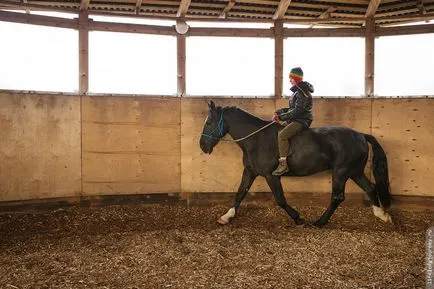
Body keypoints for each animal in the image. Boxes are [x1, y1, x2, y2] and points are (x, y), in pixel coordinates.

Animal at [200, 100, 394, 226]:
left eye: (209, 122)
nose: (202, 145)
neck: (255, 139)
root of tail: (361, 135)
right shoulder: (250, 171)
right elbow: (240, 193)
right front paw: (226, 217)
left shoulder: (271, 175)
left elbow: (280, 199)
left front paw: (298, 218)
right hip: (354, 172)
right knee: (370, 188)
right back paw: (382, 215)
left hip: (341, 172)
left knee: (338, 197)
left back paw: (320, 222)